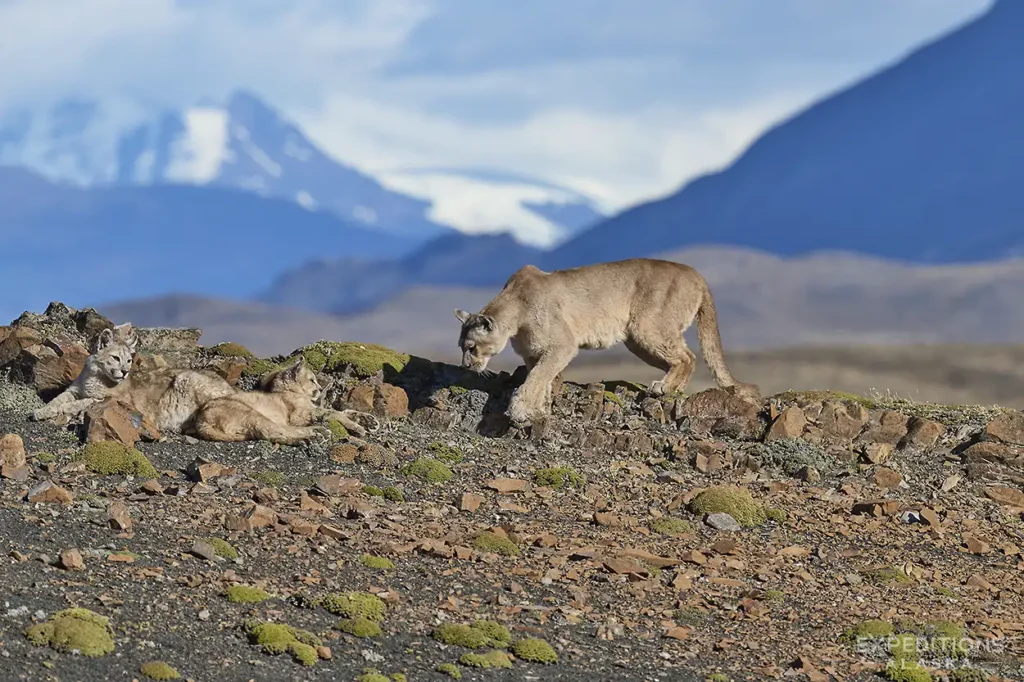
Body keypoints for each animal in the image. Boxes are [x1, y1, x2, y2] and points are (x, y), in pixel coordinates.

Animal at [454, 258, 756, 424]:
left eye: (471, 347)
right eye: (461, 348)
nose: (466, 366)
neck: (514, 313)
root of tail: (696, 273)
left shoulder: (562, 345)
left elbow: (536, 377)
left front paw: (519, 410)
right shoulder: (534, 353)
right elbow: (541, 377)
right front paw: (539, 407)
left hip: (647, 327)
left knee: (687, 357)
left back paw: (664, 388)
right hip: (636, 340)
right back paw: (671, 387)